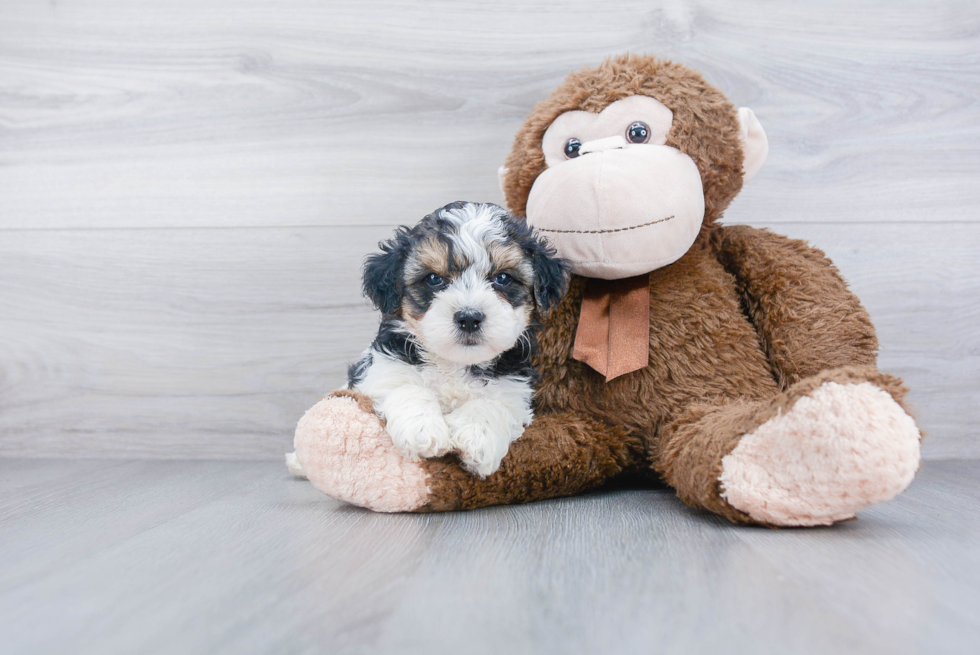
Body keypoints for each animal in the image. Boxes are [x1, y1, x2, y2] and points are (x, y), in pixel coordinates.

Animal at [288, 200, 572, 476]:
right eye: (434, 279)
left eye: (502, 278)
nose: (469, 317)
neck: (454, 365)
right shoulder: (382, 369)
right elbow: (406, 387)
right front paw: (423, 430)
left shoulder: (514, 389)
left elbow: (493, 404)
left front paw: (476, 437)